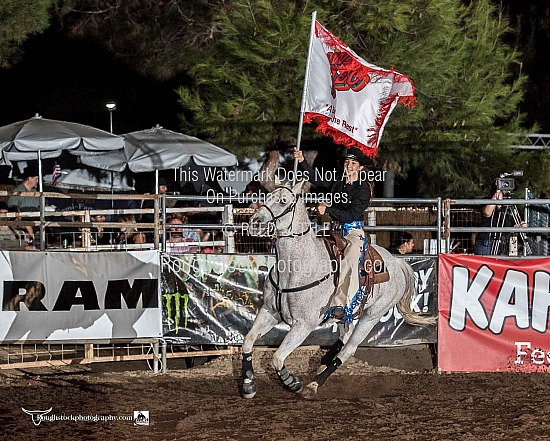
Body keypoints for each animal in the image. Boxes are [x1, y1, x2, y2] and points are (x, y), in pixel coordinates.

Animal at [244, 180, 438, 398]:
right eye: (266, 197)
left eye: (283, 201)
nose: (255, 223)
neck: (296, 268)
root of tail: (397, 262)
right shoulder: (269, 311)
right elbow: (248, 341)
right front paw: (248, 384)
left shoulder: (303, 325)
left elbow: (277, 357)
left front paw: (293, 383)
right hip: (347, 314)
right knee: (344, 337)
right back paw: (322, 364)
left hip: (372, 316)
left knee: (349, 349)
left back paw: (314, 384)